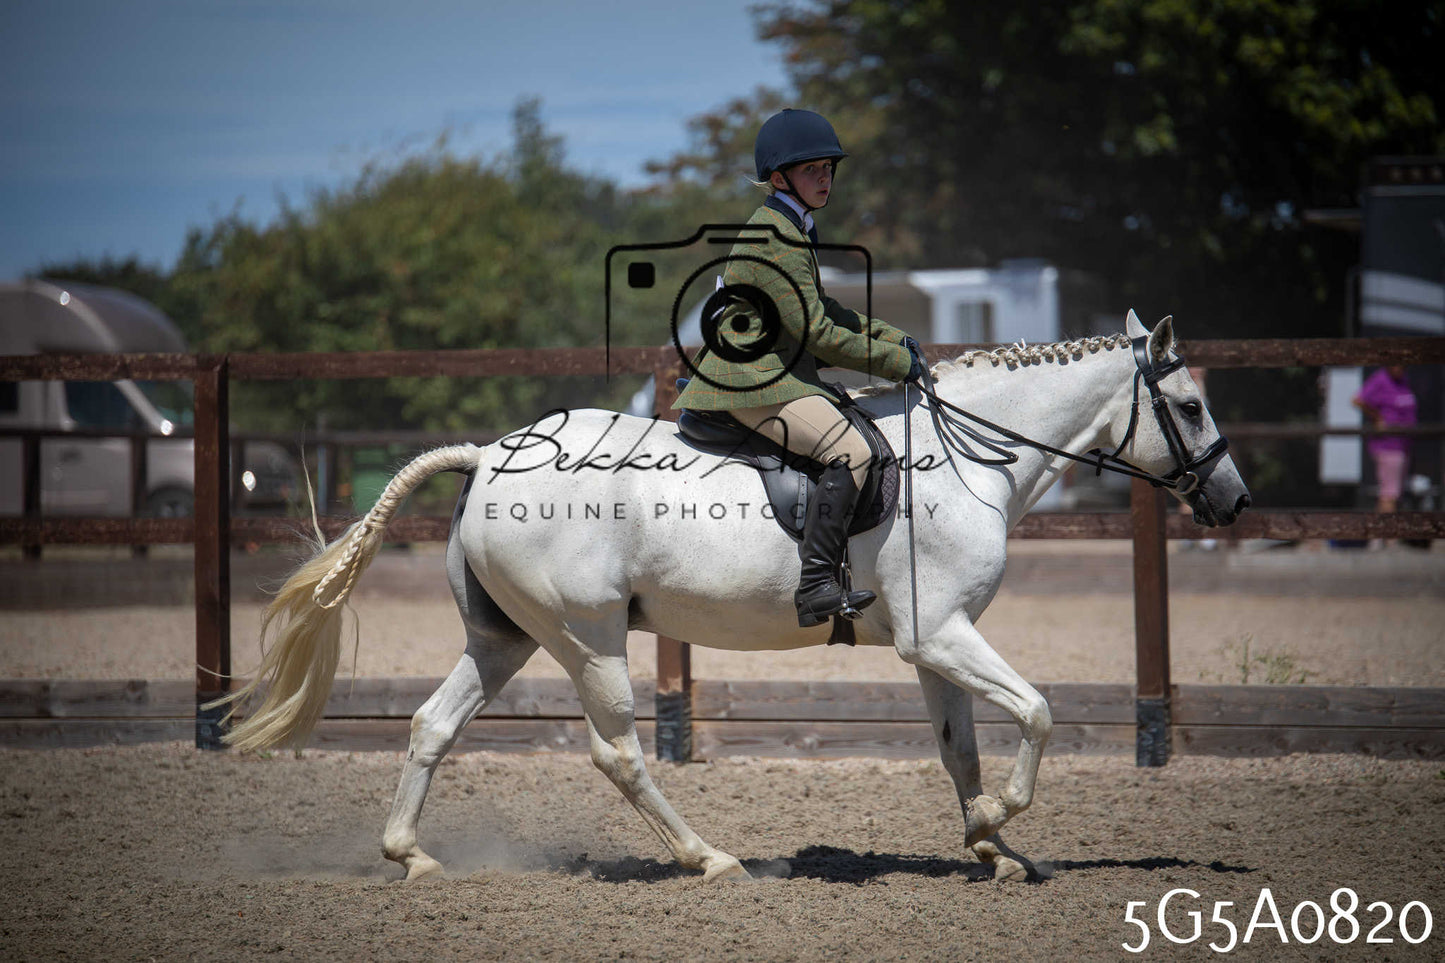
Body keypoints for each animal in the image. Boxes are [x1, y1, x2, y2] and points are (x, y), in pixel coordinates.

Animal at [216, 310, 1250, 883]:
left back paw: (411, 855)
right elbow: (1035, 712)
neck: (967, 457)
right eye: (1190, 406)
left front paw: (991, 846)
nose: (1235, 502)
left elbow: (959, 745)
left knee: (433, 724)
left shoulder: (935, 642)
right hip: (588, 636)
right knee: (618, 752)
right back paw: (708, 857)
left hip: (504, 638)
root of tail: (489, 455)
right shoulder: (940, 634)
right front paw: (999, 820)